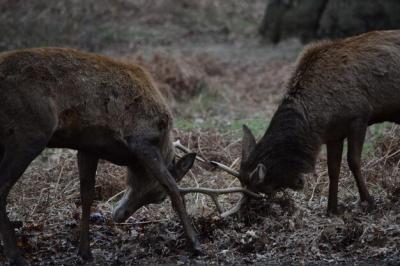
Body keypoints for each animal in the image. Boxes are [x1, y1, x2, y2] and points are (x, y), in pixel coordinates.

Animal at [0, 46, 200, 264]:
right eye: (158, 196)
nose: (120, 216)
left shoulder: (89, 147)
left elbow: (87, 196)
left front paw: (85, 251)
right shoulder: (142, 140)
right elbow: (173, 188)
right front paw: (195, 243)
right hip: (29, 132)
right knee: (2, 189)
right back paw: (16, 256)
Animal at [214, 30, 400, 215]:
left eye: (265, 188)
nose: (300, 182)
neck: (318, 119)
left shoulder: (359, 116)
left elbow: (353, 161)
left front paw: (368, 201)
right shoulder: (333, 134)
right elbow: (333, 168)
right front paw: (332, 209)